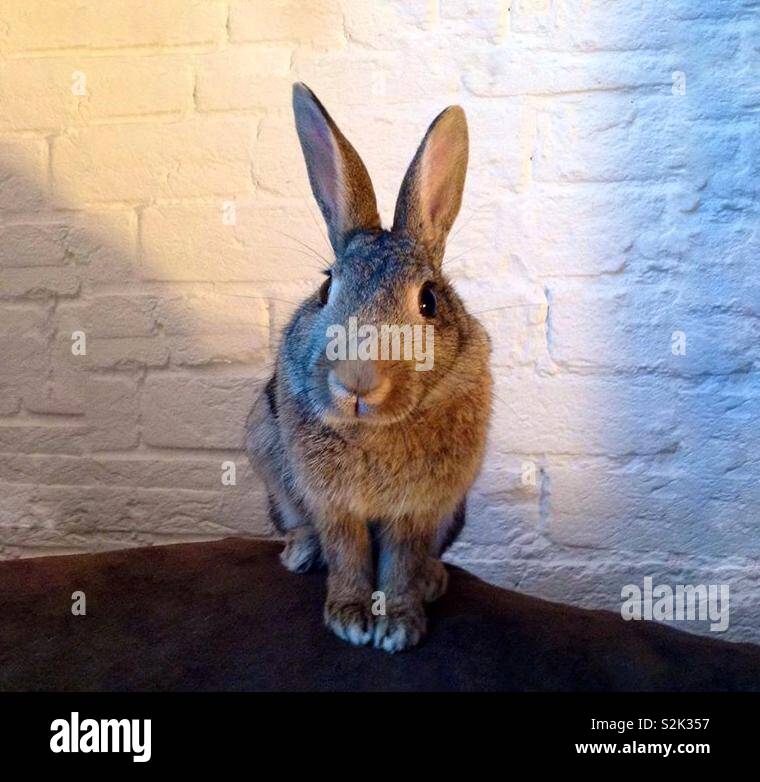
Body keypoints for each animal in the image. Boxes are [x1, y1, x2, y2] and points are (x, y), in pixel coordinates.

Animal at [246, 83, 492, 653]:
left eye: (428, 301)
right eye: (325, 289)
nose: (357, 381)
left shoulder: (418, 511)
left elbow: (400, 563)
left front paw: (398, 625)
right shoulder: (333, 504)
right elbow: (347, 554)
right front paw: (349, 617)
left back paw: (432, 580)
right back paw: (300, 553)